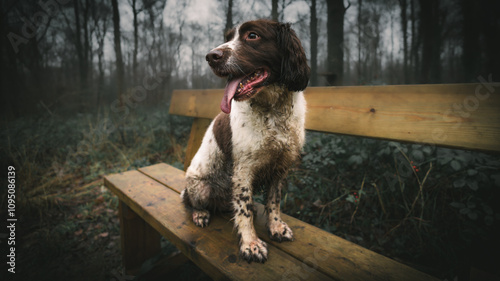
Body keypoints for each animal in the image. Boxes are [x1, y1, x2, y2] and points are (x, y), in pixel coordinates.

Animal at [182, 19, 310, 262]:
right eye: (228, 37)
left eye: (253, 35)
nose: (211, 56)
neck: (272, 112)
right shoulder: (244, 170)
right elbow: (245, 210)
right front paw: (251, 244)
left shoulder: (280, 167)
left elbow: (273, 201)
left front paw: (276, 227)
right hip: (198, 187)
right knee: (191, 202)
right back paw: (200, 214)